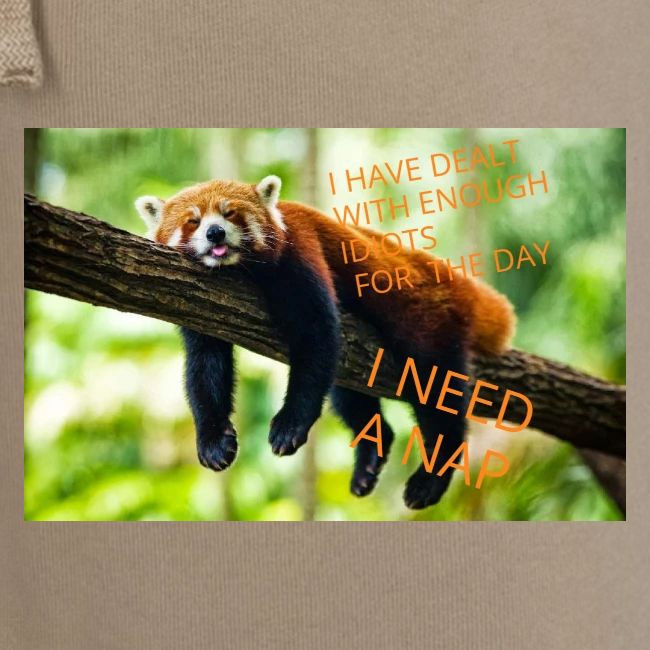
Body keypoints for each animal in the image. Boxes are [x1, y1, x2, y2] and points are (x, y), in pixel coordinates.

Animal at [136, 175, 515, 509]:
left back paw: (431, 477)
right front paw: (213, 440)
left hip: (427, 321)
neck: (239, 270)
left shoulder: (300, 252)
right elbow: (205, 367)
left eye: (230, 214)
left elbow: (316, 336)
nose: (215, 231)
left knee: (435, 391)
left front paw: (290, 424)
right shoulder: (200, 304)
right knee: (348, 394)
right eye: (193, 221)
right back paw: (370, 457)